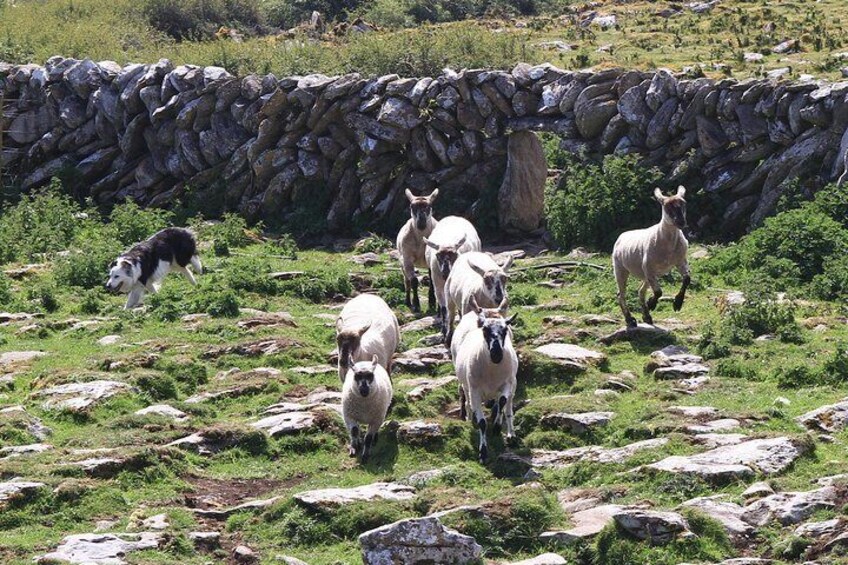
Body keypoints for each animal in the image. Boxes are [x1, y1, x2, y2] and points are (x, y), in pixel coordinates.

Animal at [454, 297, 518, 463]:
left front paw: (496, 427)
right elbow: (482, 422)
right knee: (468, 401)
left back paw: (510, 434)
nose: (497, 353)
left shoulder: (507, 384)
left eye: (505, 330)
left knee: (508, 407)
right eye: (485, 330)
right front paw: (483, 452)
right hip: (466, 384)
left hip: (513, 384)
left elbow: (502, 402)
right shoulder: (474, 391)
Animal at [612, 185, 691, 328]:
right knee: (621, 294)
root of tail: (621, 236)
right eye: (666, 207)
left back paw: (647, 317)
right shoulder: (648, 266)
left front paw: (677, 304)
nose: (681, 222)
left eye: (684, 204)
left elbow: (687, 279)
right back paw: (630, 320)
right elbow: (659, 292)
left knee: (640, 292)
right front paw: (652, 304)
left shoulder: (680, 261)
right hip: (620, 268)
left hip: (648, 274)